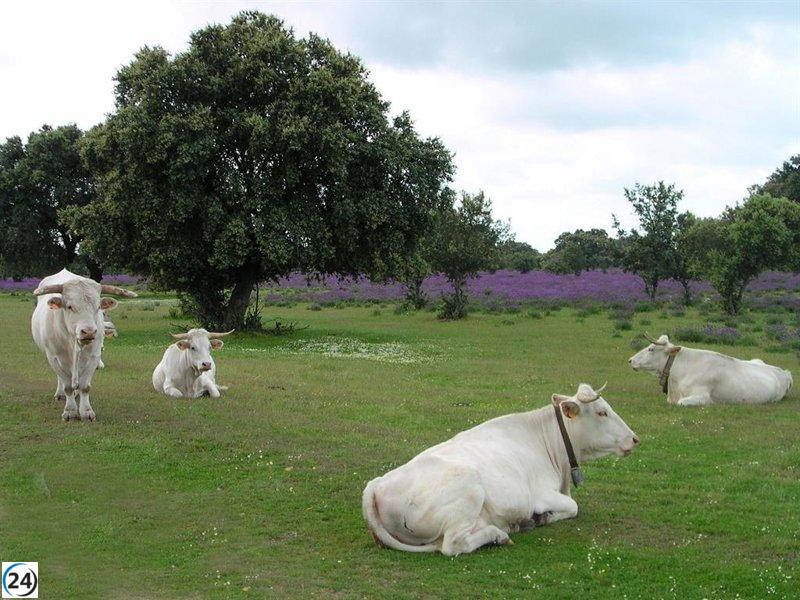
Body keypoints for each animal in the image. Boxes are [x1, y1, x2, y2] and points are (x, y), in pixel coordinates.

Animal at [31, 268, 137, 421]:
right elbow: (67, 386)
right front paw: (70, 411)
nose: (89, 332)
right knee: (61, 379)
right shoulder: (53, 357)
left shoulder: (94, 356)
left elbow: (85, 386)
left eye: (98, 307)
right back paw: (60, 394)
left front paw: (86, 411)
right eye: (69, 306)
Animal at [362, 383, 638, 556]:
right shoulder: (541, 495)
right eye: (602, 412)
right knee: (453, 545)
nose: (634, 439)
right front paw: (543, 517)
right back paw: (500, 534)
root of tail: (377, 484)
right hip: (469, 490)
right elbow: (573, 507)